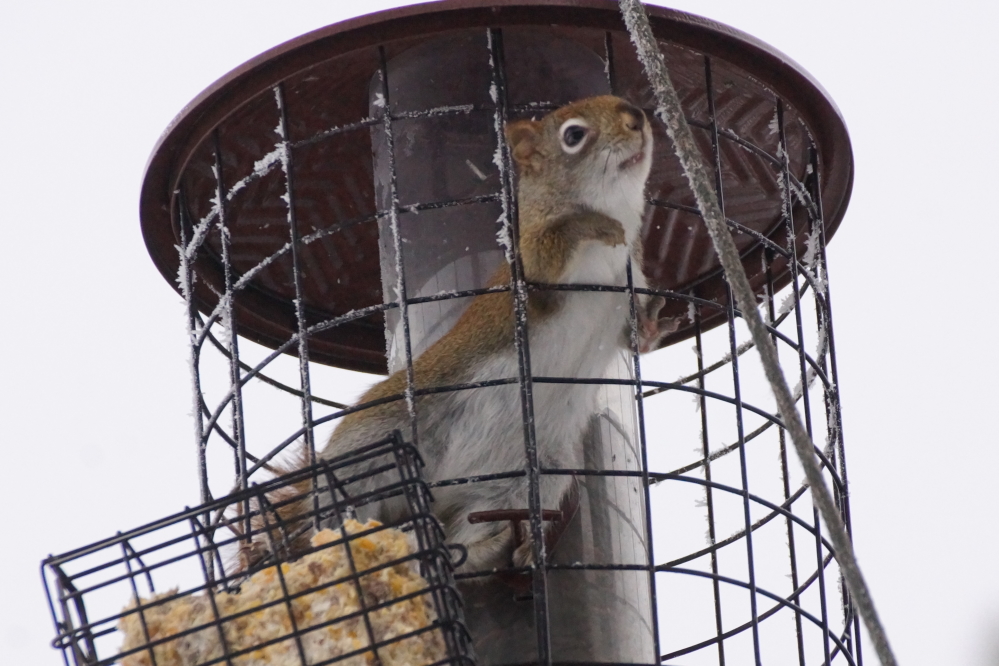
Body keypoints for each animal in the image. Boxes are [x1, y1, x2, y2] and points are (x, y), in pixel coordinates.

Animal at [236, 95, 674, 577]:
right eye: (574, 135)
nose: (636, 118)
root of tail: (439, 491)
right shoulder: (529, 276)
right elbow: (553, 250)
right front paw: (592, 224)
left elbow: (636, 342)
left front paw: (654, 323)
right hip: (370, 447)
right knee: (333, 512)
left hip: (527, 479)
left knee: (469, 534)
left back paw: (498, 547)